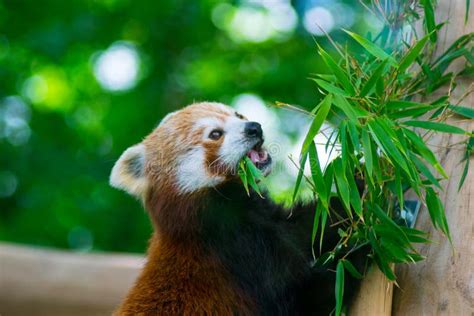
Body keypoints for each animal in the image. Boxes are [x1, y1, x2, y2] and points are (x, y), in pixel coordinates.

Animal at [110, 102, 366, 314]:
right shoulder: (235, 251)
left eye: (238, 115)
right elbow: (308, 295)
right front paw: (362, 249)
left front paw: (363, 180)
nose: (254, 128)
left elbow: (309, 227)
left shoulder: (264, 219)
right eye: (215, 134)